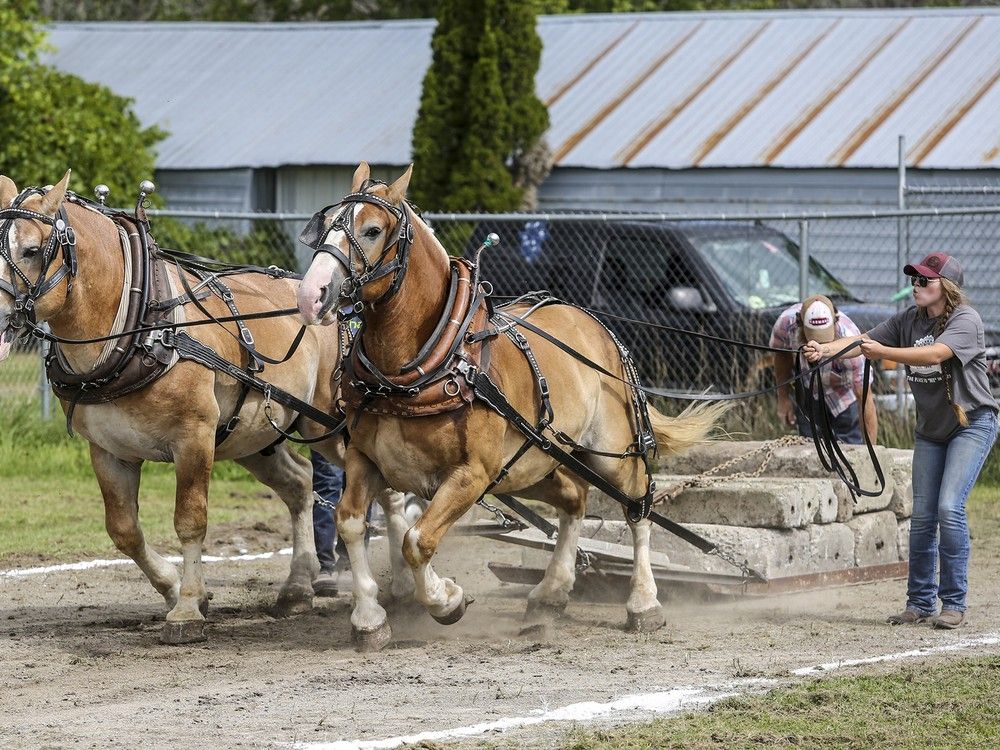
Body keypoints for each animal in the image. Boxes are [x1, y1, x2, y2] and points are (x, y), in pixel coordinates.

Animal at [0, 171, 413, 644]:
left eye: (32, 250)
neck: (139, 327)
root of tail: (337, 306)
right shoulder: (109, 450)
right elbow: (124, 530)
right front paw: (175, 588)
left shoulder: (193, 437)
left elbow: (190, 520)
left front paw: (187, 609)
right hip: (252, 436)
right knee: (298, 483)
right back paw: (297, 588)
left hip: (333, 428)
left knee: (388, 490)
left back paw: (406, 584)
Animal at [296, 162, 728, 650]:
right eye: (324, 226)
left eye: (371, 230)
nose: (312, 294)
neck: (420, 369)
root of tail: (595, 324)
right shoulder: (365, 459)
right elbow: (352, 523)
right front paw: (370, 618)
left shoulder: (471, 474)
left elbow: (417, 540)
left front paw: (447, 599)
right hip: (531, 466)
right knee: (575, 500)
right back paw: (550, 594)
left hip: (610, 454)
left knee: (638, 509)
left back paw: (643, 603)